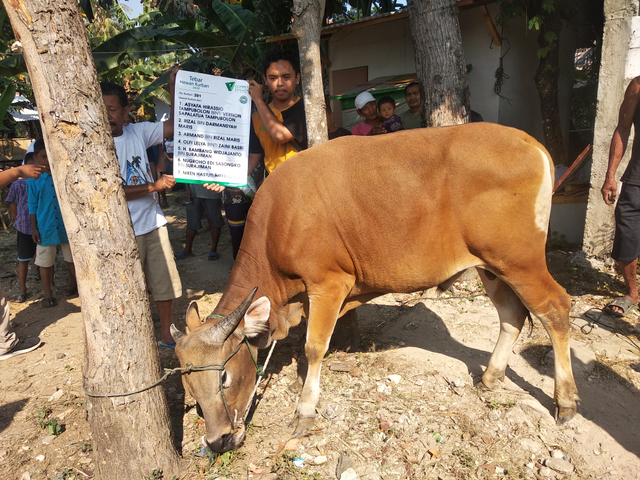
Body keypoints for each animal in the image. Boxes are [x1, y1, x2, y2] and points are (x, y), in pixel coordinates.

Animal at [170, 122, 580, 452]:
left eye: (223, 377)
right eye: (190, 391)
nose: (217, 440)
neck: (278, 222)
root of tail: (529, 141)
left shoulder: (328, 283)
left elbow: (314, 348)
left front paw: (305, 410)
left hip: (520, 262)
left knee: (555, 308)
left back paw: (565, 401)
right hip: (490, 265)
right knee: (512, 314)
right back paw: (491, 377)